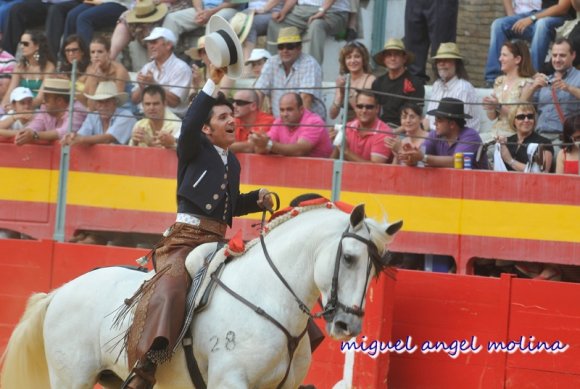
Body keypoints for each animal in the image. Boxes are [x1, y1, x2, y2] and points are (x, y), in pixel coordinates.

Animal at [0, 202, 402, 386]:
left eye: (377, 268)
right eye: (349, 258)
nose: (348, 324)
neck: (267, 296)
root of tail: (59, 292)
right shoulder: (231, 380)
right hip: (72, 378)